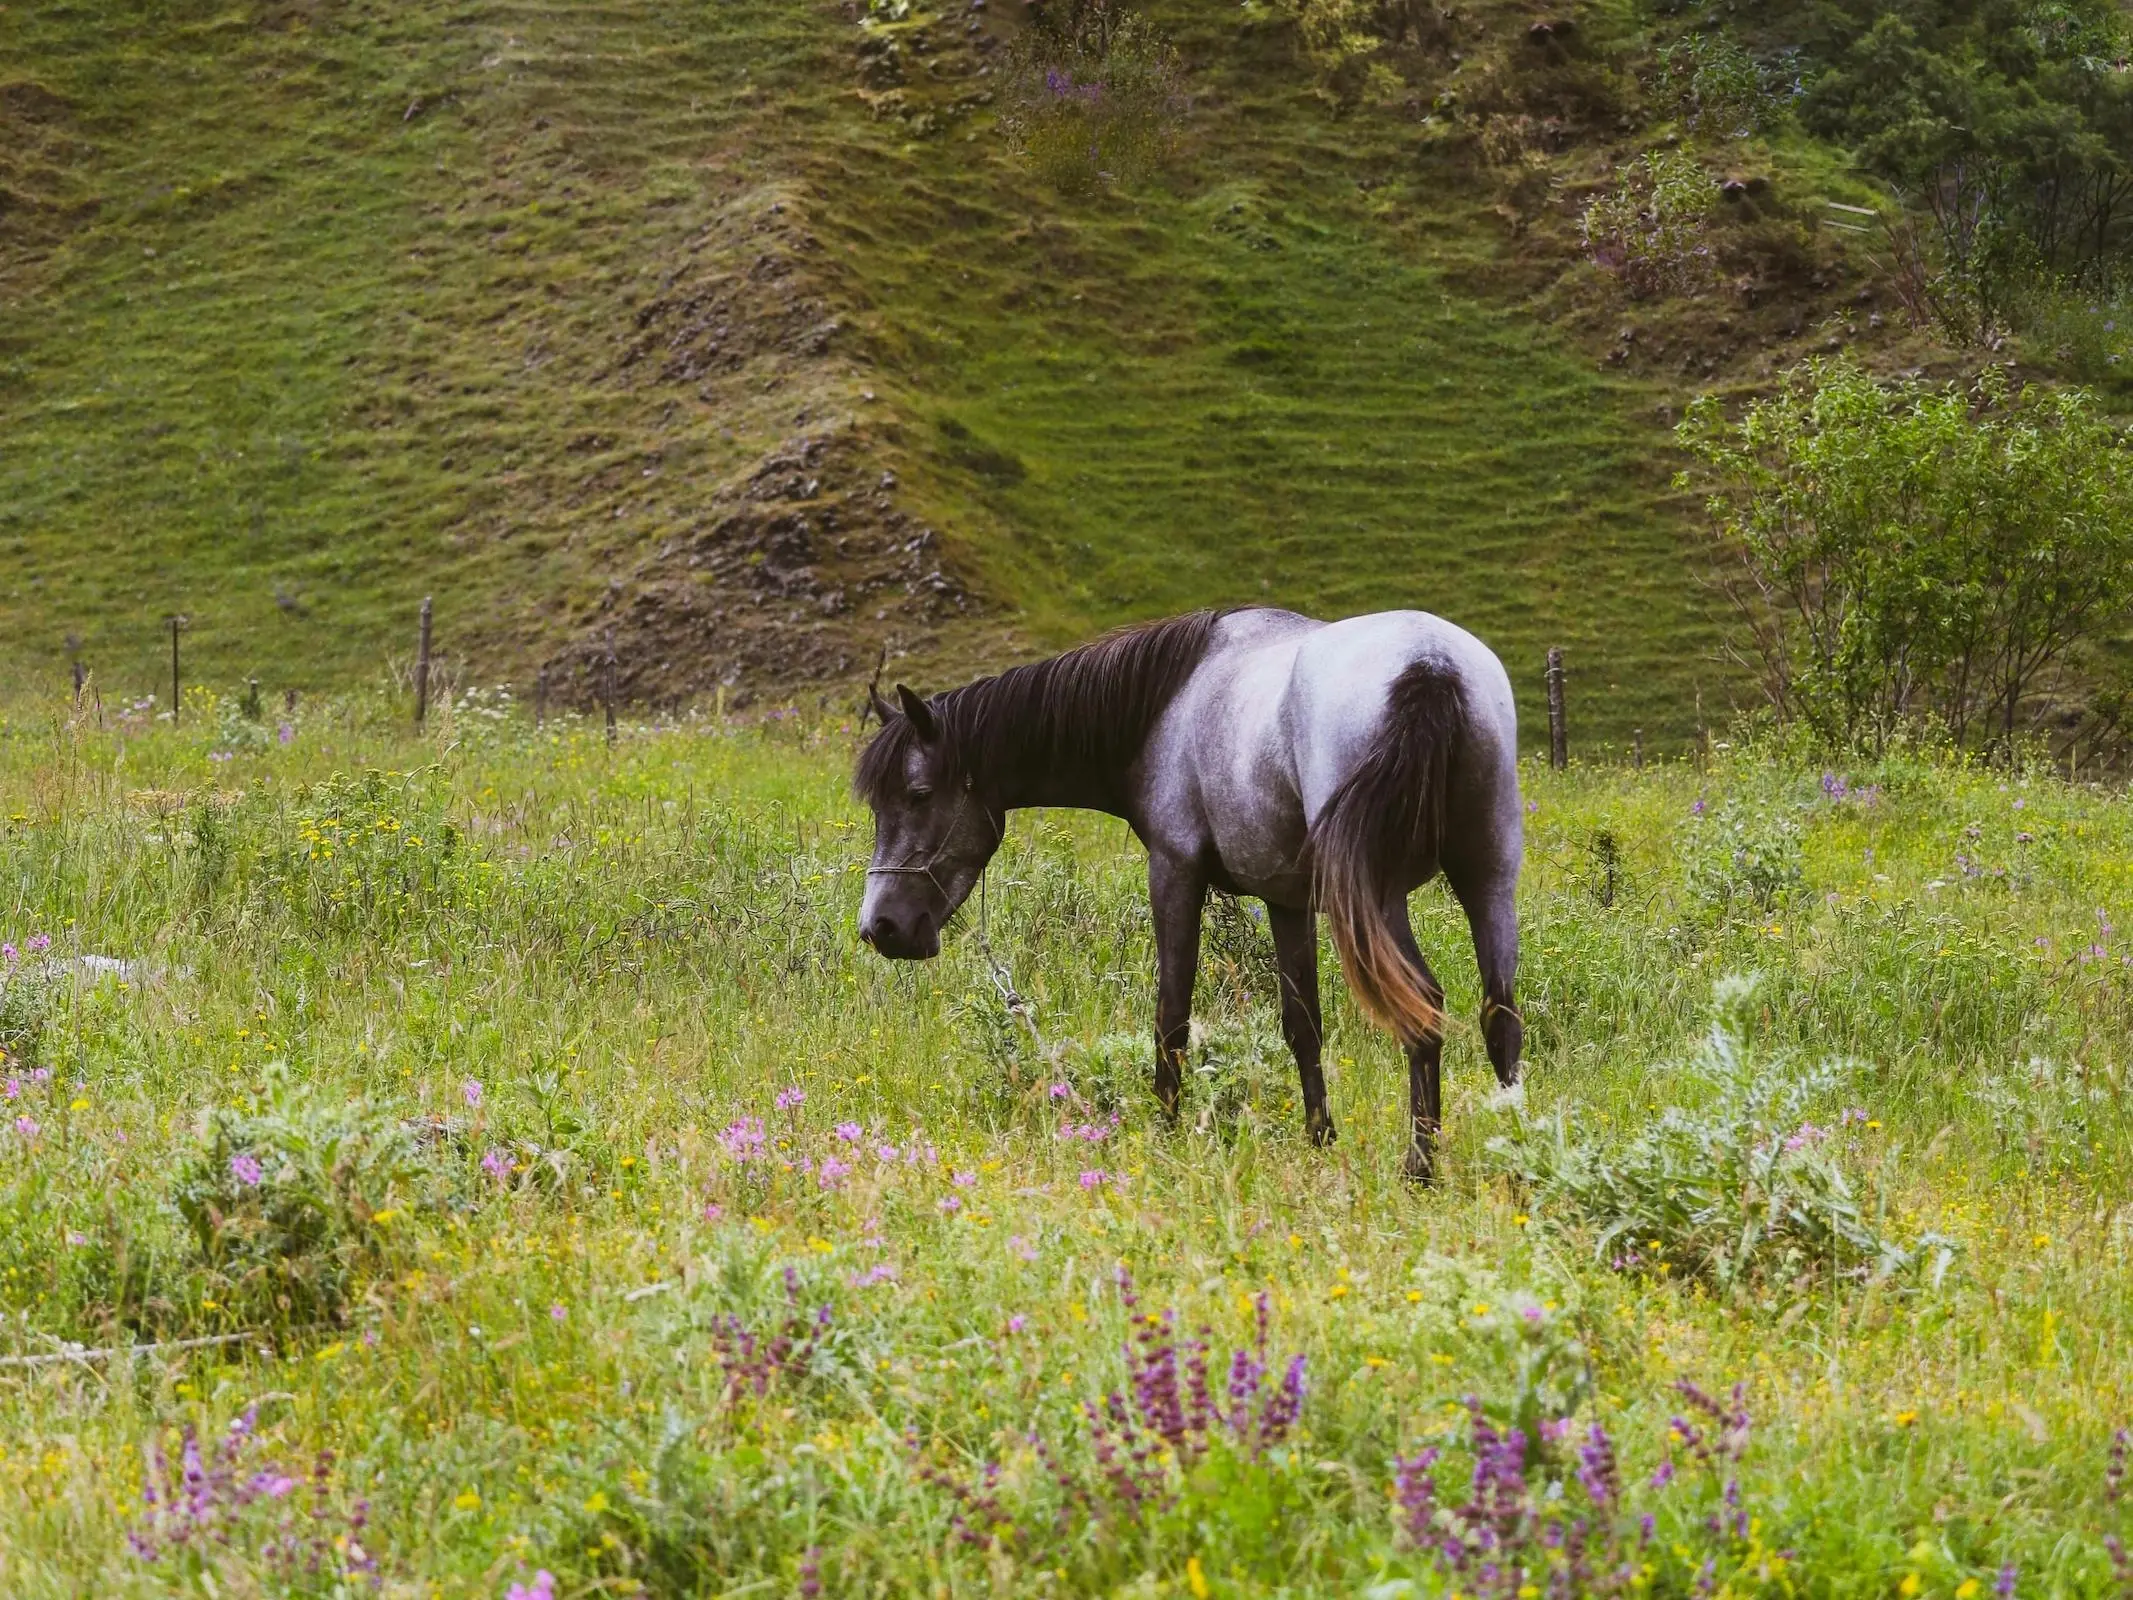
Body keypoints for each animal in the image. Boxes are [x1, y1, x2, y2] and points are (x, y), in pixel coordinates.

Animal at [857, 605, 1527, 1186]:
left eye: (918, 794)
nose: (880, 927)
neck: (1168, 704)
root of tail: (1430, 665)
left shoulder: (1175, 871)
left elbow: (1172, 1016)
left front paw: (1167, 1128)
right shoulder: (1287, 901)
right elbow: (1302, 1025)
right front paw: (1320, 1139)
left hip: (1376, 898)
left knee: (1424, 1009)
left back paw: (1420, 1170)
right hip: (1489, 877)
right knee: (1501, 1017)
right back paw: (1521, 1155)